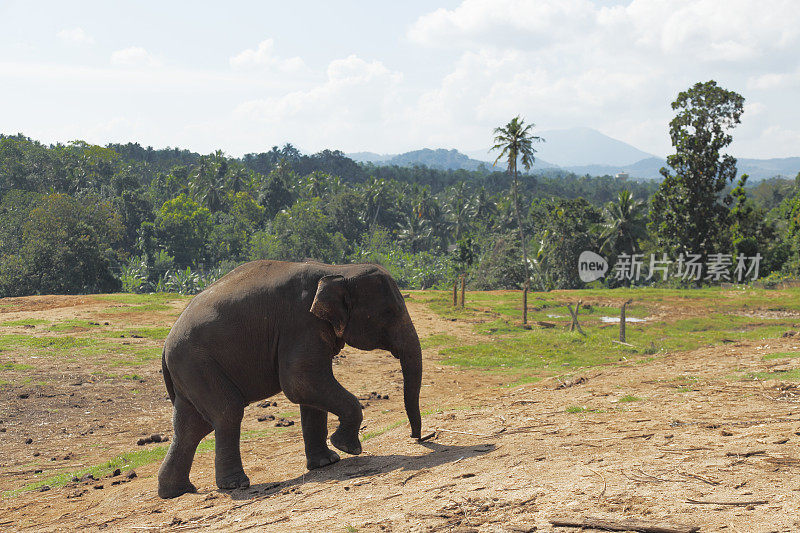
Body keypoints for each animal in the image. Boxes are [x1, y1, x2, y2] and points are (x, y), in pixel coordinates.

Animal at [153, 260, 422, 496]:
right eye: (389, 312)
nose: (415, 438)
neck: (338, 270)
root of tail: (165, 347)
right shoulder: (301, 323)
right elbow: (300, 381)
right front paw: (348, 448)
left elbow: (309, 392)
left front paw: (327, 462)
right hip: (198, 364)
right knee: (226, 413)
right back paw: (236, 485)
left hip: (190, 372)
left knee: (192, 427)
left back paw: (176, 492)